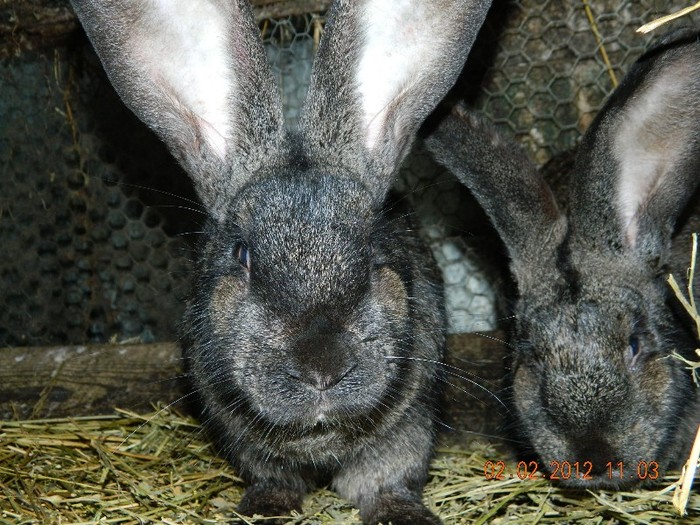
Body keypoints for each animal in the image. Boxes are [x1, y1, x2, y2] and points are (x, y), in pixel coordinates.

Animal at [67, 0, 492, 520]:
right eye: (242, 254)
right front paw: (262, 509)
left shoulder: (407, 430)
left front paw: (403, 515)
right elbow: (273, 478)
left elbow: (386, 480)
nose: (322, 367)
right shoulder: (245, 441)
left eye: (373, 249)